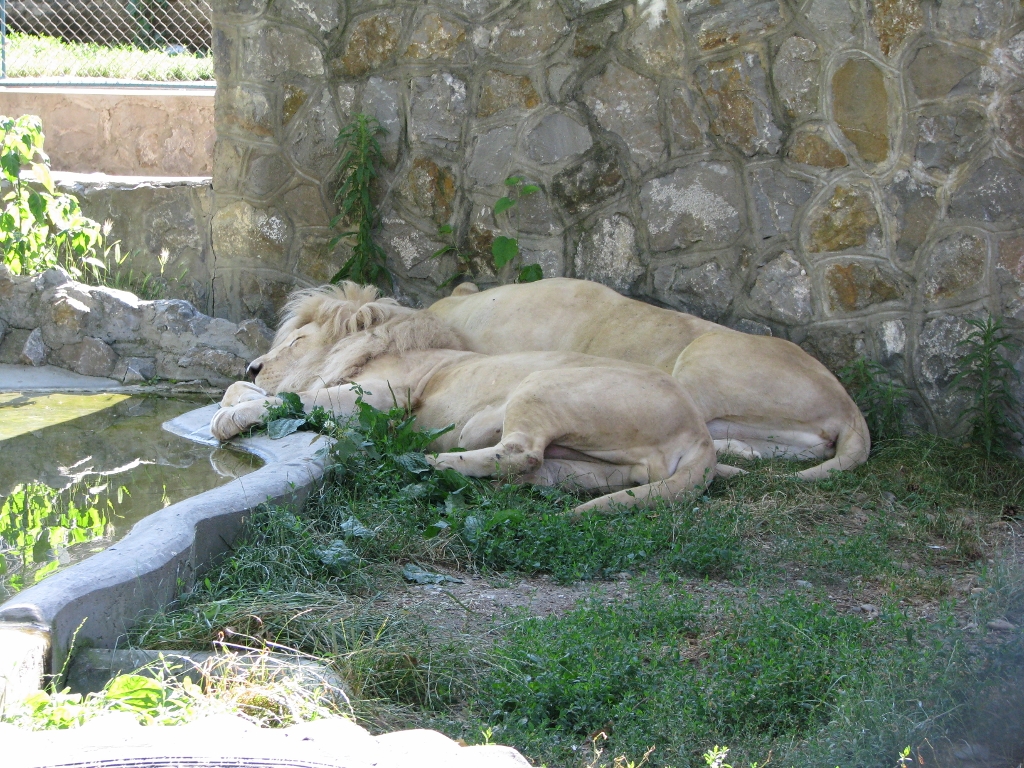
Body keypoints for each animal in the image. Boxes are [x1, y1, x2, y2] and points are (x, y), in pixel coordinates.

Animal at [210, 285, 718, 514]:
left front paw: (231, 417)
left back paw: (418, 461)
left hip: (544, 384)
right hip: (603, 467)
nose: (251, 366)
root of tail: (701, 435)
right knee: (540, 470)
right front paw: (236, 395)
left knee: (521, 452)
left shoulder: (376, 401)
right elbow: (265, 395)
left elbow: (292, 398)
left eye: (295, 342)